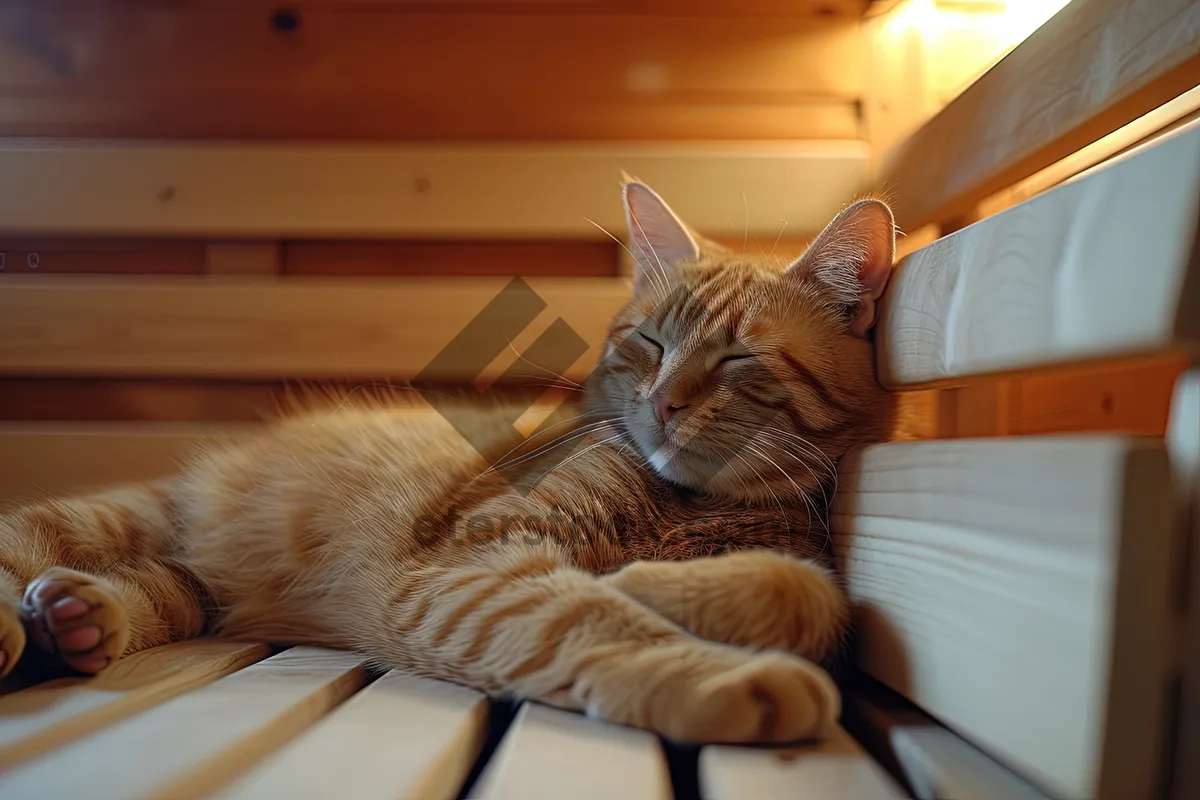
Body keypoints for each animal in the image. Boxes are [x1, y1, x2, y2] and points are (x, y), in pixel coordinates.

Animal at [0, 179, 897, 743]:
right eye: (649, 342)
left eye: (740, 356)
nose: (665, 401)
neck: (683, 507)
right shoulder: (472, 562)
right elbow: (587, 614)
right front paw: (699, 658)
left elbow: (815, 599)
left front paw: (653, 584)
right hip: (97, 521)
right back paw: (30, 626)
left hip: (192, 590)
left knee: (150, 592)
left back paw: (74, 620)